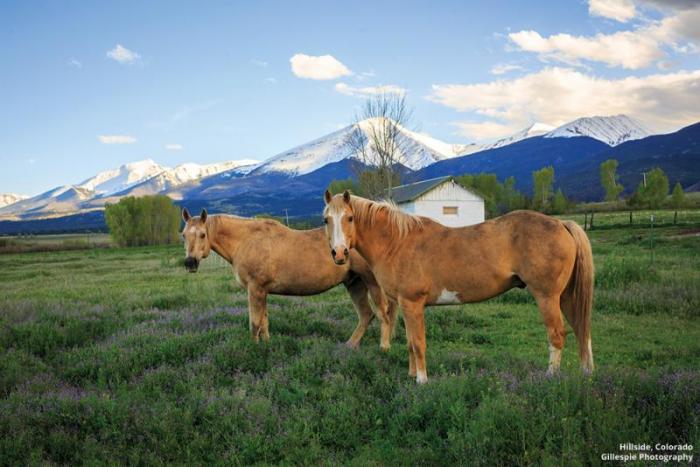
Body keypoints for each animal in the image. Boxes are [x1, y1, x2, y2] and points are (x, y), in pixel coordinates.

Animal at [182, 209, 400, 352]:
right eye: (184, 235)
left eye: (202, 234)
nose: (190, 263)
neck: (247, 240)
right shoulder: (262, 290)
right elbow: (264, 321)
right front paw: (267, 344)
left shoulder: (255, 289)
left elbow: (254, 322)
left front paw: (254, 350)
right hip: (354, 283)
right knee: (366, 315)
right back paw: (350, 346)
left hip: (372, 283)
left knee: (384, 314)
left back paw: (384, 347)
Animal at [322, 190, 592, 384]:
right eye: (326, 219)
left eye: (350, 218)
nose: (339, 253)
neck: (397, 242)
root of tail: (561, 224)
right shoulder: (406, 306)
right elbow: (410, 342)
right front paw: (412, 375)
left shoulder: (412, 303)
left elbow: (418, 343)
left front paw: (421, 381)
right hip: (566, 296)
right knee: (581, 330)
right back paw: (586, 375)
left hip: (547, 297)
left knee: (557, 335)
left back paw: (549, 378)